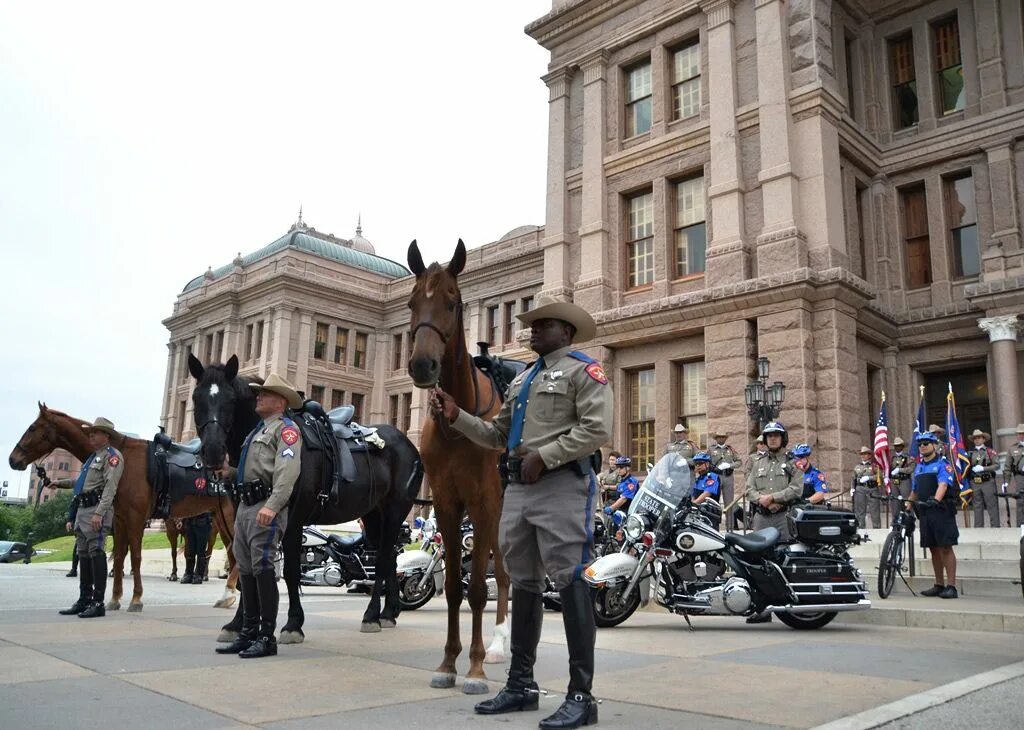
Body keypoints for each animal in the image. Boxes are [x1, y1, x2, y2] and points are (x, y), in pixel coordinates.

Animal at [9, 403, 237, 610]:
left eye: (32, 428)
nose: (12, 459)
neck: (123, 457)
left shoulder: (135, 517)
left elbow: (135, 556)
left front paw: (136, 599)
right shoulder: (119, 519)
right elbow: (119, 556)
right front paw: (114, 598)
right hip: (221, 519)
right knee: (233, 554)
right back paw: (228, 597)